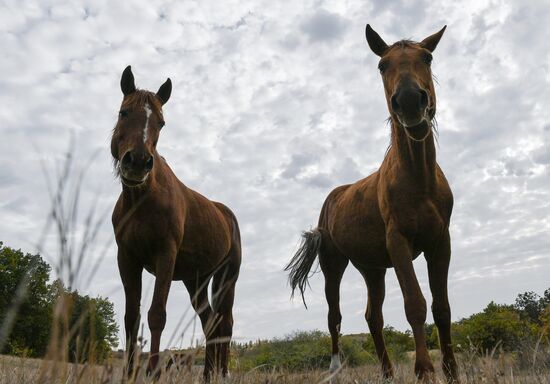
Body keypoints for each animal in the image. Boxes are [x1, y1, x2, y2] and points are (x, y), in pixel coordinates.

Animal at [110, 65, 242, 378]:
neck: (142, 199)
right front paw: (130, 373)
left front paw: (153, 373)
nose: (137, 162)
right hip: (197, 282)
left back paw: (222, 373)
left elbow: (156, 314)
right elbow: (131, 317)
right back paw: (207, 376)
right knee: (211, 324)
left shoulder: (165, 256)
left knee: (225, 325)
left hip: (227, 278)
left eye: (161, 123)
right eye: (124, 112)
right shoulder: (127, 258)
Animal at [286, 25, 460, 382]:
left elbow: (442, 307)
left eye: (427, 57)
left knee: (372, 317)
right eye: (382, 65)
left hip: (372, 268)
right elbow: (415, 305)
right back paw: (336, 368)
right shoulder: (399, 242)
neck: (418, 181)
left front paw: (452, 372)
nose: (409, 101)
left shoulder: (440, 242)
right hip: (334, 265)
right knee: (334, 317)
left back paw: (388, 372)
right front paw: (424, 371)